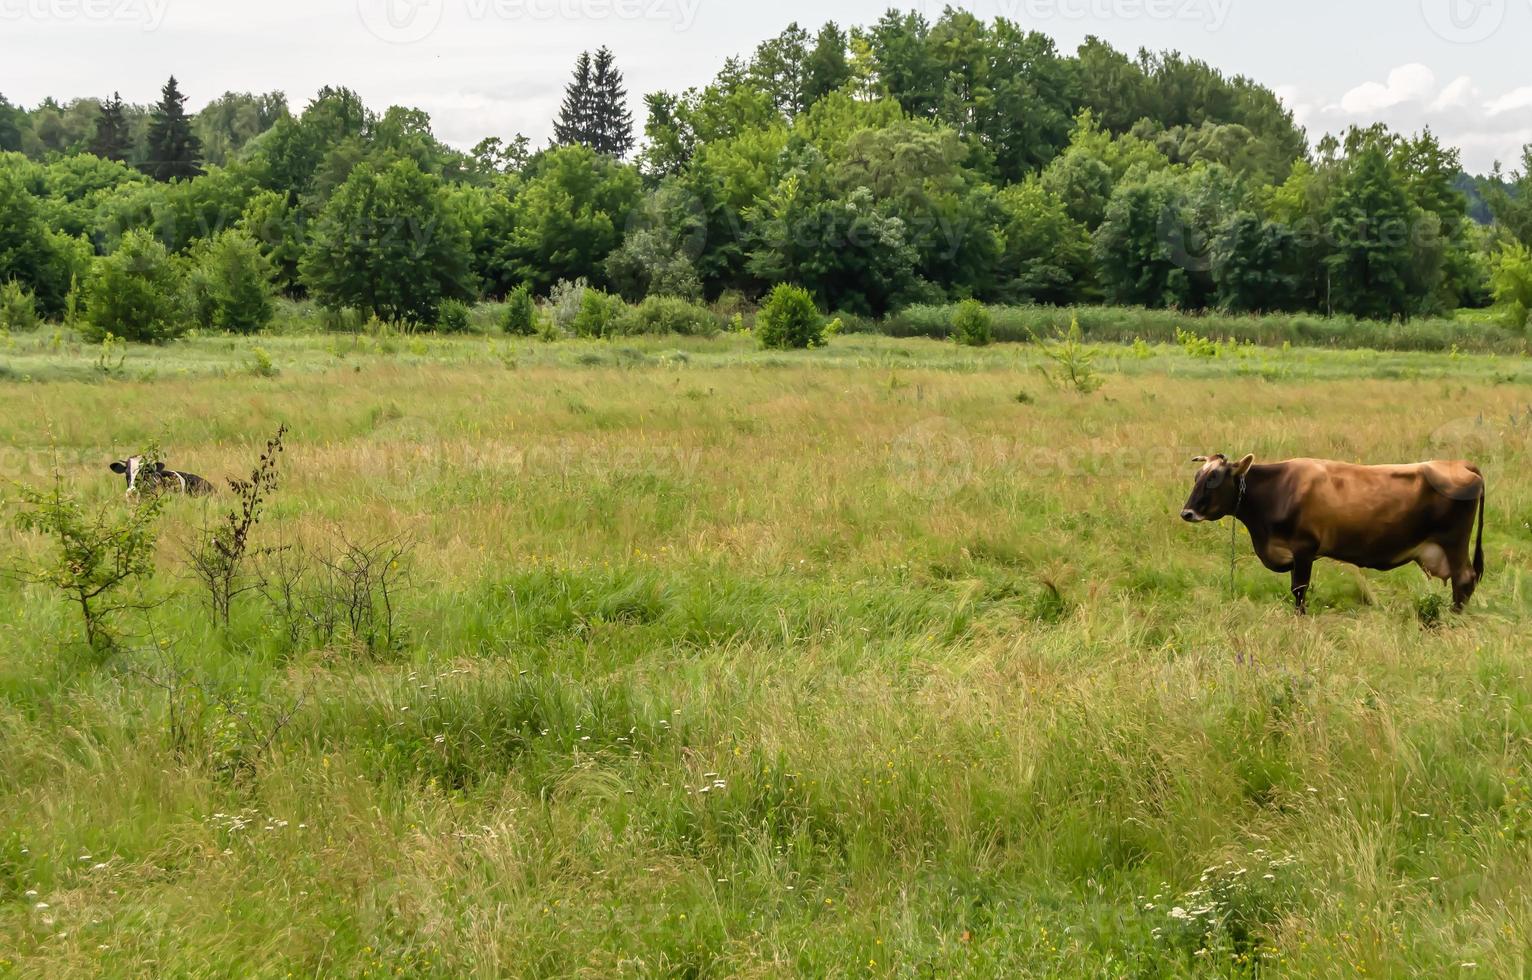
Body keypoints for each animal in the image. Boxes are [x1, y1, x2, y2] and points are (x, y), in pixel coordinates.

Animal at [1182, 453, 1482, 612]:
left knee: (1464, 580)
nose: (1187, 513)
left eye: (1214, 479)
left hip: (1454, 542)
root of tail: (1460, 464)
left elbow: (1299, 589)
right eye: (1197, 477)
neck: (1278, 489)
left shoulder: (1304, 548)